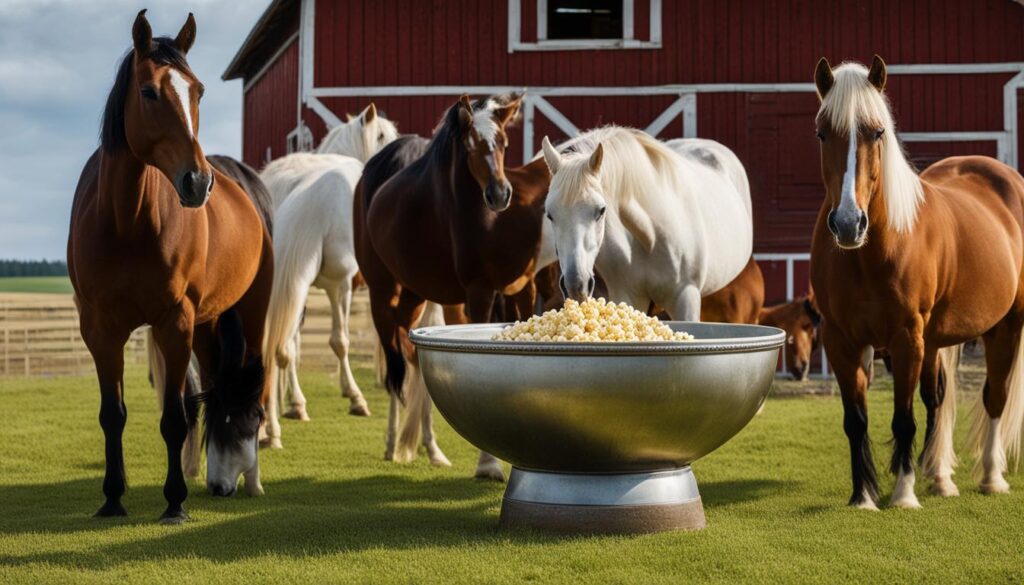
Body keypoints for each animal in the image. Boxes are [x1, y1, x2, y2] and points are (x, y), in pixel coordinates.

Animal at [68, 9, 276, 522]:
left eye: (198, 91)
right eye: (148, 92)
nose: (197, 182)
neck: (126, 222)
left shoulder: (172, 322)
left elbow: (173, 417)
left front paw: (174, 502)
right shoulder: (100, 328)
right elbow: (114, 415)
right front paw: (113, 498)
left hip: (252, 308)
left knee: (256, 386)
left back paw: (250, 479)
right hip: (205, 324)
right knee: (218, 387)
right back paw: (213, 474)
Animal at [356, 94, 557, 481]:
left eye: (504, 143)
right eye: (470, 146)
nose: (499, 194)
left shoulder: (521, 290)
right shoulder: (479, 293)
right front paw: (488, 464)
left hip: (415, 297)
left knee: (411, 359)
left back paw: (430, 448)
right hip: (382, 293)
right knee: (394, 364)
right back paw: (392, 442)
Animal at [544, 127, 753, 319]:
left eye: (601, 210)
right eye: (550, 215)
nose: (576, 285)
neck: (651, 237)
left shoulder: (686, 297)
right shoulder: (628, 297)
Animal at [811, 57, 1019, 510]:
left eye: (877, 132)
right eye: (822, 133)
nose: (849, 224)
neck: (869, 255)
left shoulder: (906, 339)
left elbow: (903, 420)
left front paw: (903, 495)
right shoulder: (840, 340)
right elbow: (856, 421)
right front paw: (863, 497)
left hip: (1005, 327)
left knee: (995, 396)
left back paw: (991, 478)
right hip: (936, 341)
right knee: (936, 399)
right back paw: (940, 478)